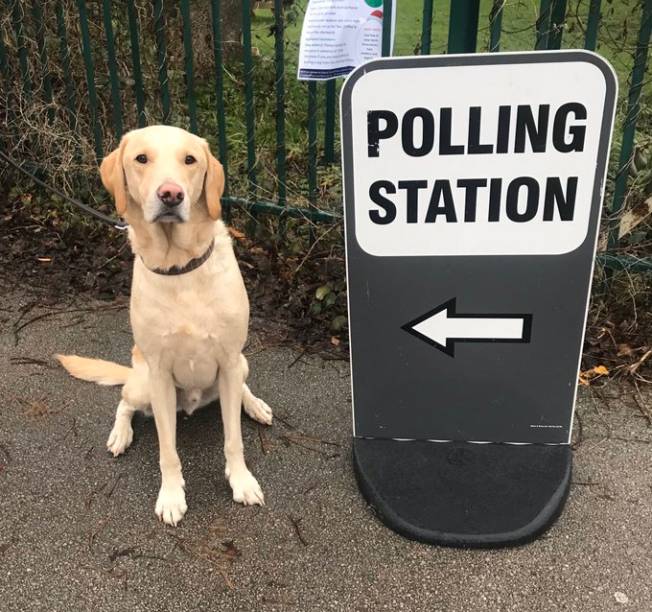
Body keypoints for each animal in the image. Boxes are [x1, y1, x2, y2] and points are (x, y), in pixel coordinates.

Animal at [54, 125, 272, 524]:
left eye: (190, 160)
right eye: (141, 158)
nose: (171, 194)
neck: (179, 268)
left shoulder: (230, 360)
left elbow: (233, 439)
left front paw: (241, 481)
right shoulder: (159, 374)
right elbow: (167, 450)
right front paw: (171, 496)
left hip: (240, 364)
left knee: (241, 390)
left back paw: (255, 405)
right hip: (143, 383)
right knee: (124, 403)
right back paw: (120, 435)